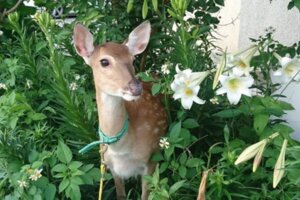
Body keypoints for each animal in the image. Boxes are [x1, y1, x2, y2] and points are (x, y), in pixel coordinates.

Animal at [72, 21, 166, 199]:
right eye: (104, 62)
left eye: (132, 59)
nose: (135, 88)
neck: (121, 149)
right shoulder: (111, 166)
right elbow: (120, 195)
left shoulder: (151, 159)